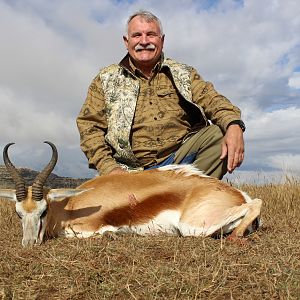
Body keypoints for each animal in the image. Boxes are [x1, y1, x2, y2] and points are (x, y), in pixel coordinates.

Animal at [0, 141, 262, 246]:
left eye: (43, 211)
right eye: (18, 214)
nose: (29, 243)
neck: (71, 206)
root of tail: (236, 194)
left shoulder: (88, 228)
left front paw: (112, 236)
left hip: (192, 227)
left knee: (257, 201)